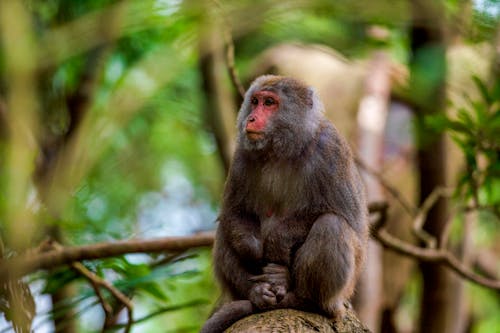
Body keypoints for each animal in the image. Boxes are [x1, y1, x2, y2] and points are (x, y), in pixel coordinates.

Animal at [199, 75, 368, 332]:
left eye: (269, 103)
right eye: (255, 101)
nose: (251, 118)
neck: (282, 150)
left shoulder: (331, 149)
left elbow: (347, 217)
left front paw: (277, 242)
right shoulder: (241, 155)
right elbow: (233, 212)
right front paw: (253, 249)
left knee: (331, 224)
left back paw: (307, 300)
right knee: (226, 229)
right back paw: (257, 292)